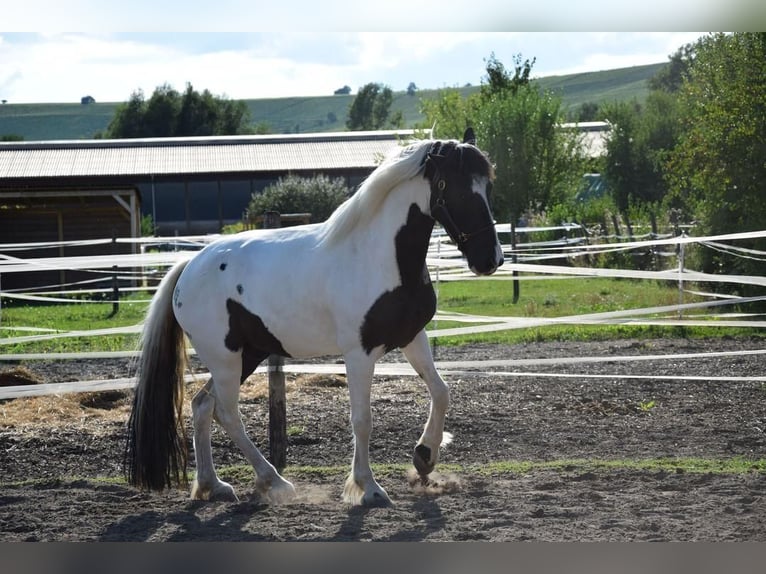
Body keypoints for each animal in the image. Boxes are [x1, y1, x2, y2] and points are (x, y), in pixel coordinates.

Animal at [125, 130, 504, 508]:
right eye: (456, 188)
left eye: (488, 186)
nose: (491, 260)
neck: (379, 257)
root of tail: (187, 267)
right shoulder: (359, 353)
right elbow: (362, 419)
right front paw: (368, 487)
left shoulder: (412, 337)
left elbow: (441, 391)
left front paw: (424, 457)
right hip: (226, 359)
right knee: (227, 413)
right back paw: (274, 481)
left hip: (246, 355)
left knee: (204, 405)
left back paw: (214, 486)